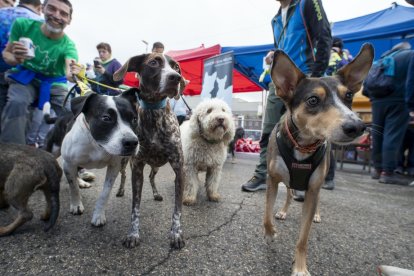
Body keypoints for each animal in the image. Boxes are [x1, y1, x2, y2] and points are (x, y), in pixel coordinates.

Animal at [61, 90, 139, 226]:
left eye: (134, 119)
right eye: (106, 118)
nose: (132, 143)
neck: (98, 144)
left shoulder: (114, 167)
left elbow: (105, 193)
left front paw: (98, 215)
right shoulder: (68, 163)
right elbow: (73, 187)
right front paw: (76, 205)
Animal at [112, 52, 185, 249]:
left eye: (176, 67)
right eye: (153, 63)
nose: (176, 78)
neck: (154, 112)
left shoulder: (179, 169)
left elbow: (177, 210)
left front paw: (176, 234)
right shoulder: (137, 168)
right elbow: (135, 209)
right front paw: (133, 234)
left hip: (157, 165)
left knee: (152, 177)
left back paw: (157, 194)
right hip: (124, 161)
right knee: (122, 175)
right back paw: (120, 190)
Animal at [266, 43, 376, 276]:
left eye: (349, 96)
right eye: (313, 100)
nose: (357, 127)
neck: (303, 145)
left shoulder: (313, 189)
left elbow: (303, 239)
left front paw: (300, 267)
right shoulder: (272, 180)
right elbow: (266, 215)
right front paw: (270, 232)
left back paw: (316, 215)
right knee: (289, 195)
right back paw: (283, 211)